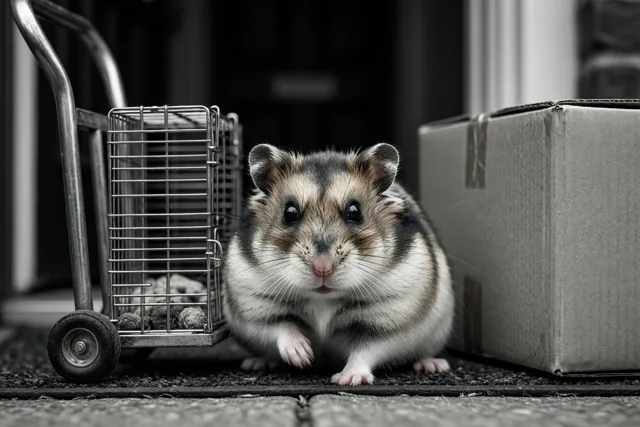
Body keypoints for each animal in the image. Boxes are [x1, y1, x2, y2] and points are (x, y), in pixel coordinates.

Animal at [222, 142, 454, 386]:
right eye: (289, 212)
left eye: (355, 211)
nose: (322, 268)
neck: (323, 299)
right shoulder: (255, 307)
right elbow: (281, 326)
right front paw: (302, 356)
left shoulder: (388, 318)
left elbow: (365, 350)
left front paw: (347, 379)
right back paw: (257, 364)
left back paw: (433, 365)